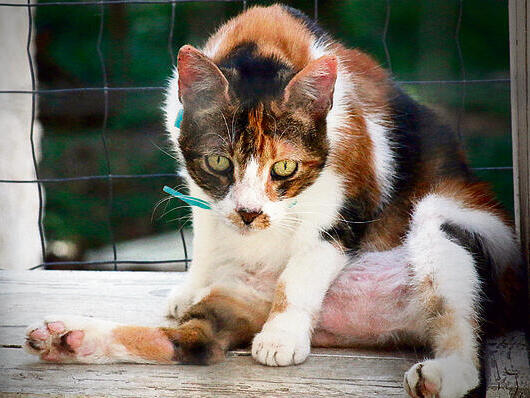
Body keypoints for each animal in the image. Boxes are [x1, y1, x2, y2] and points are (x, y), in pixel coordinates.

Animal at [23, 3, 520, 398]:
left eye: (284, 168)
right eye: (219, 161)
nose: (249, 214)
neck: (262, 45)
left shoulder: (353, 191)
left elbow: (304, 267)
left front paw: (281, 338)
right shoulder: (200, 186)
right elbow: (206, 234)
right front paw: (189, 286)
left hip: (445, 223)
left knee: (462, 326)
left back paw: (441, 376)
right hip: (237, 295)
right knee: (195, 343)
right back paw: (68, 337)